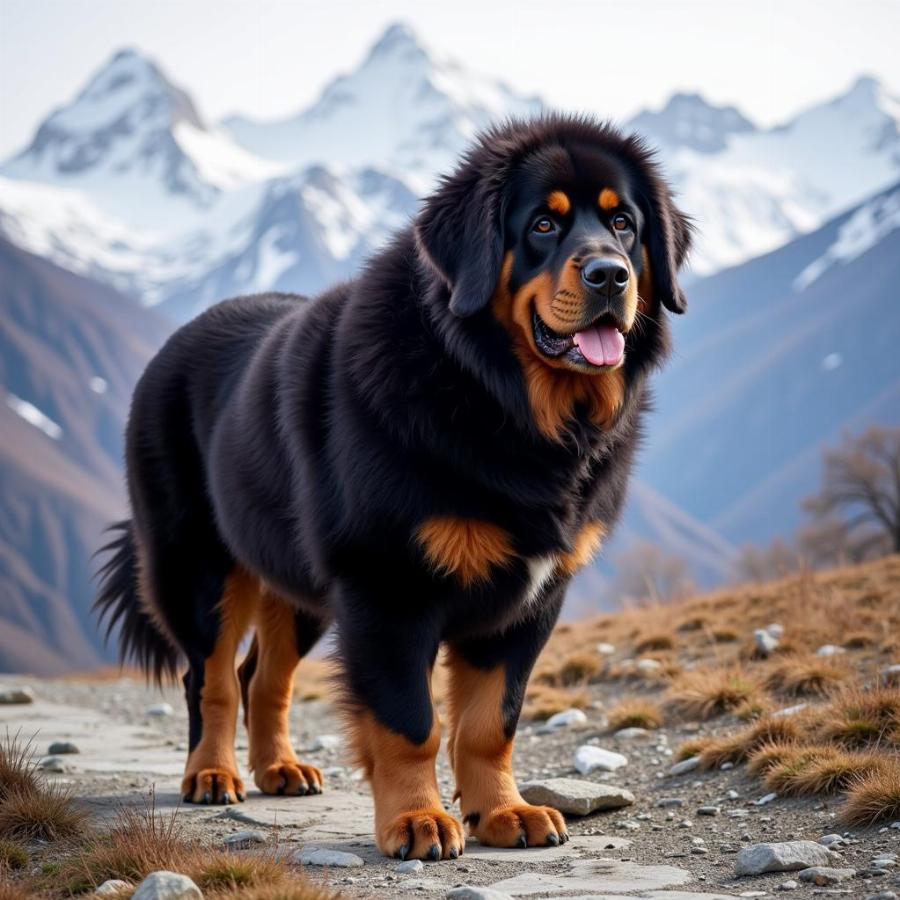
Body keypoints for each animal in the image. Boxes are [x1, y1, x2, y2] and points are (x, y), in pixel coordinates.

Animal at [96, 116, 688, 860]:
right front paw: (417, 819)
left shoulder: (532, 600)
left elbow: (491, 721)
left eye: (622, 223)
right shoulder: (387, 587)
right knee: (212, 680)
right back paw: (211, 774)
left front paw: (503, 811)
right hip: (200, 568)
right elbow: (410, 722)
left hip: (300, 584)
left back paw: (280, 768)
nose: (609, 273)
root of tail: (170, 348)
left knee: (265, 676)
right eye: (544, 226)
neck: (498, 397)